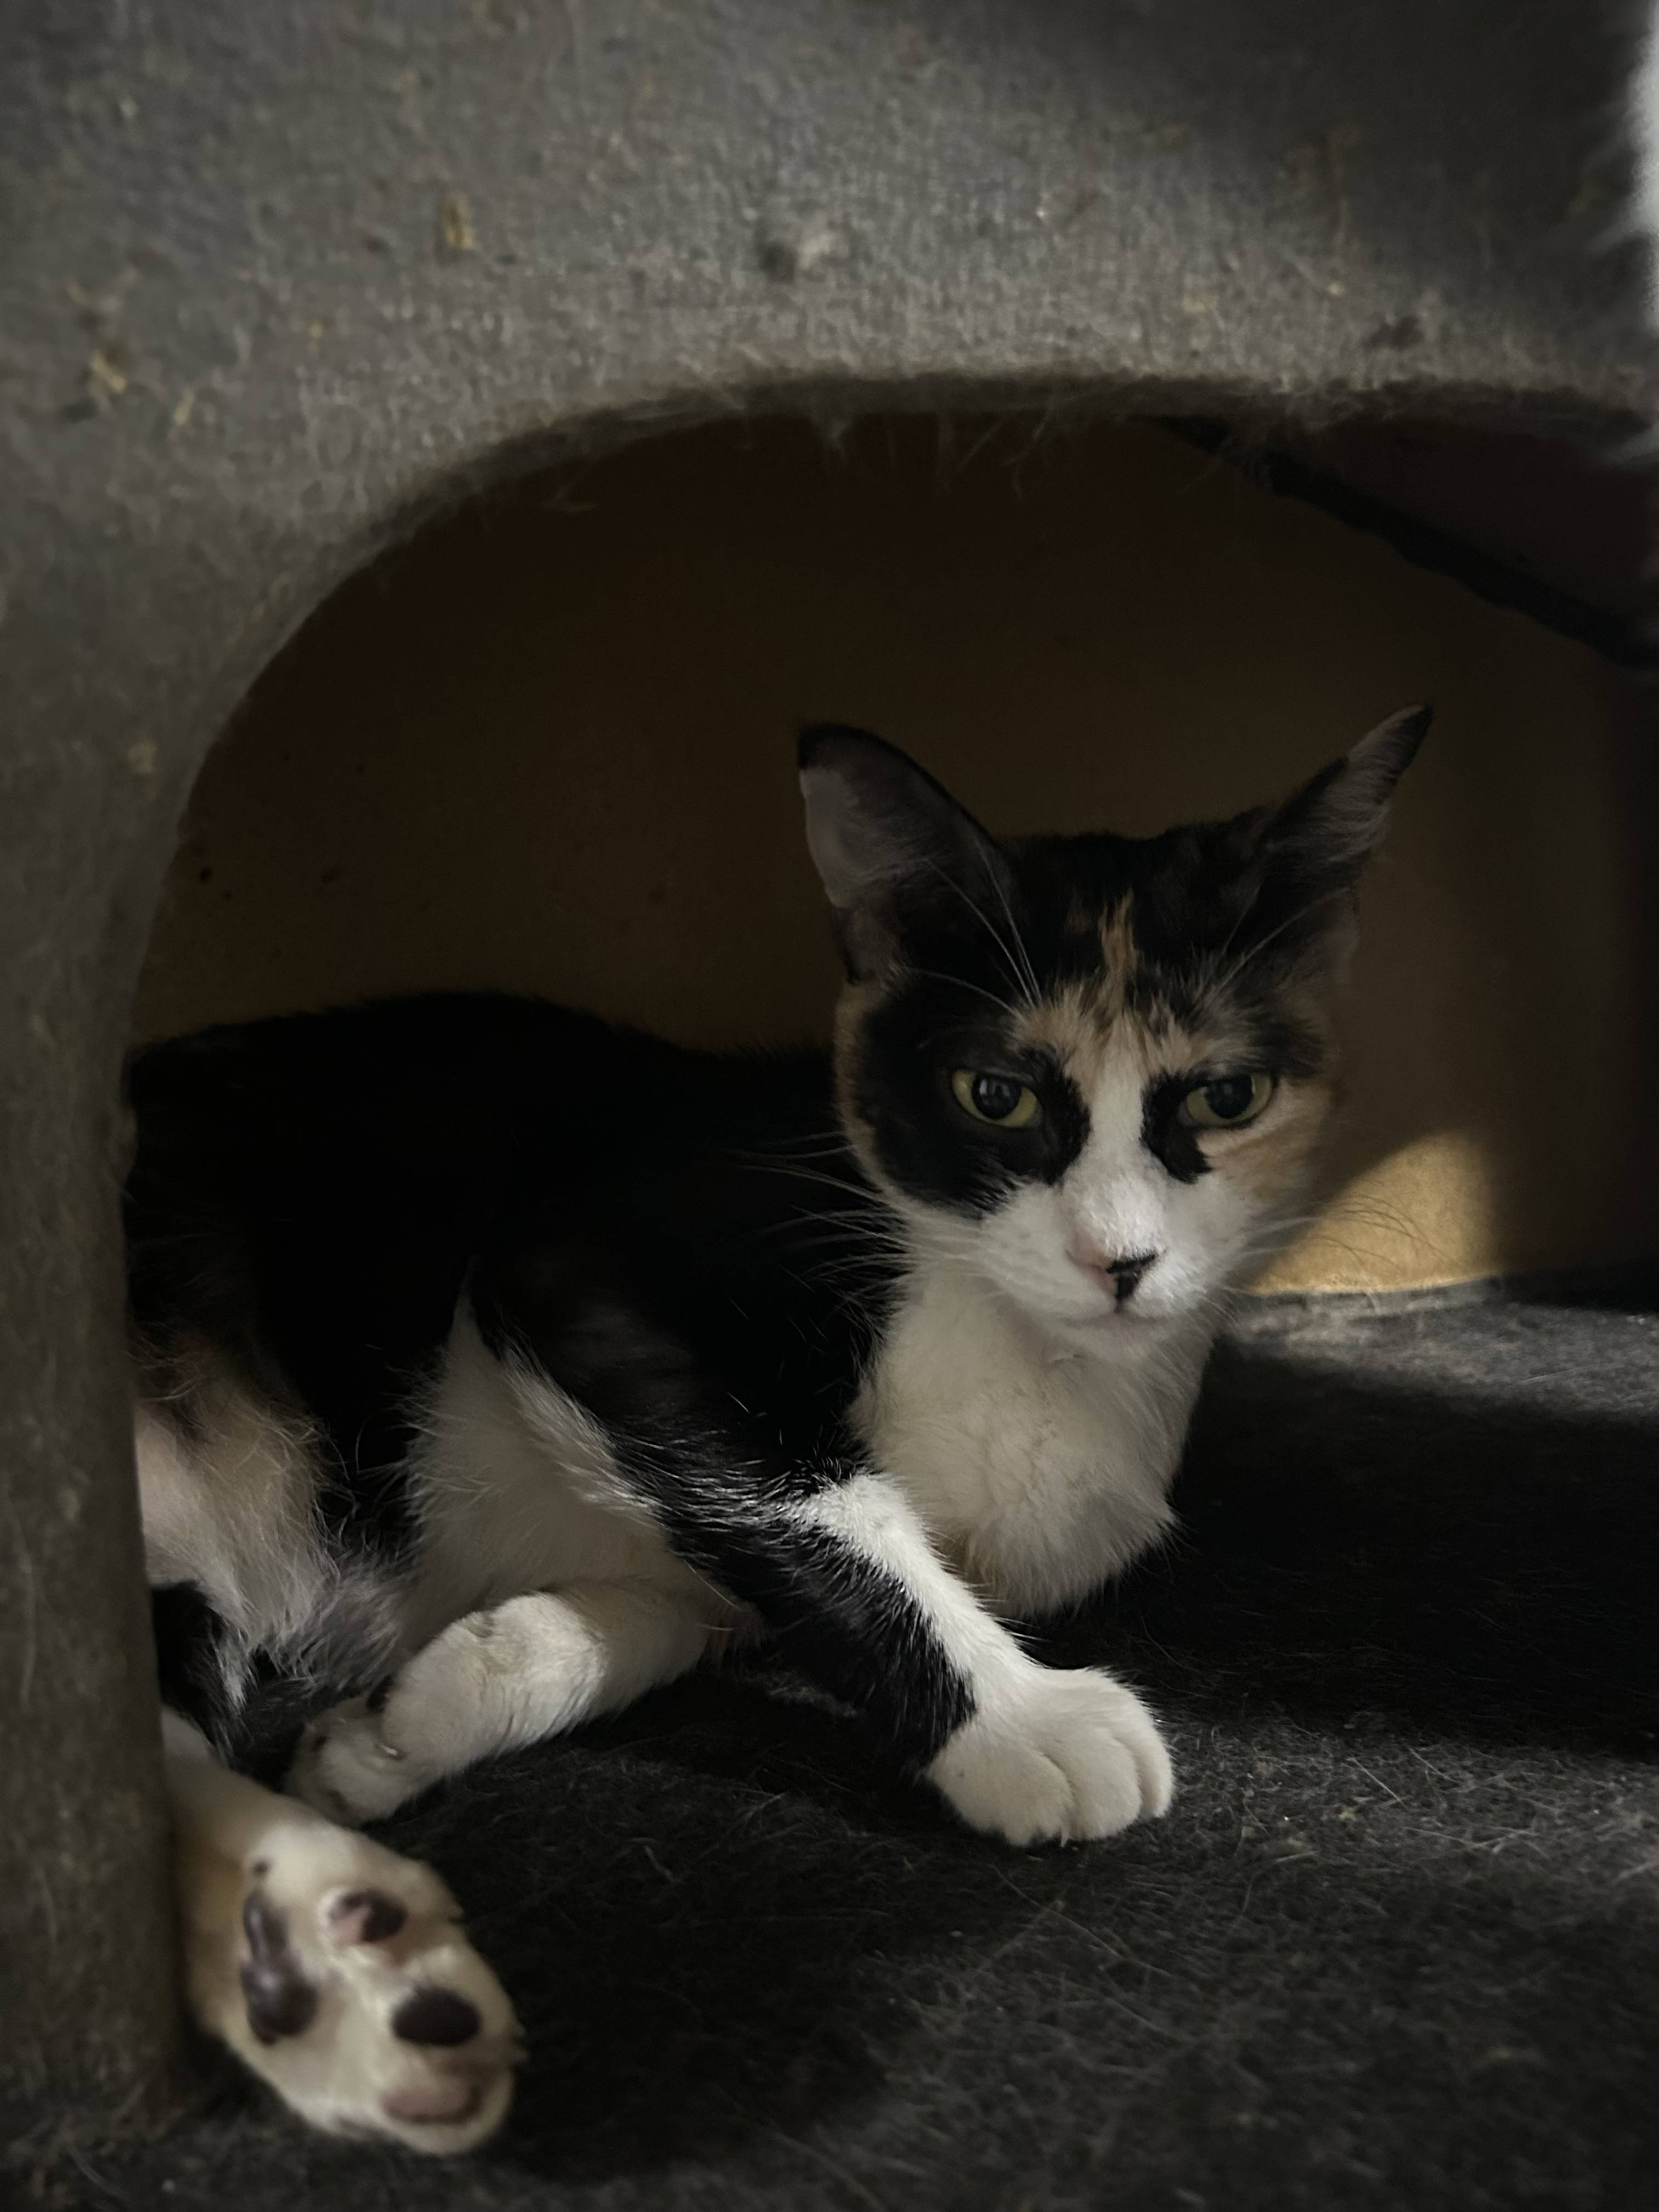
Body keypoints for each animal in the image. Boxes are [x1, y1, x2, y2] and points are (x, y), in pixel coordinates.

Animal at [134, 709, 1427, 2148]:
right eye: (992, 1095)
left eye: (1225, 1098)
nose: (1120, 1261)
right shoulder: (585, 1273)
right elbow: (818, 1511)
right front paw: (1022, 1721)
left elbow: (684, 1597)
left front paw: (423, 1714)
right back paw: (348, 1971)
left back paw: (342, 1985)